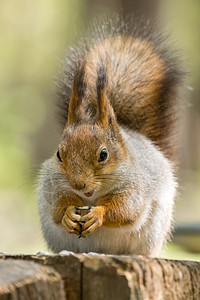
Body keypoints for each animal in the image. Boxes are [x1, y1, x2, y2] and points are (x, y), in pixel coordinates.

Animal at [36, 15, 182, 256]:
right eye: (58, 154)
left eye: (103, 154)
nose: (78, 184)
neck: (93, 195)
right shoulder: (52, 185)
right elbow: (56, 207)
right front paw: (67, 213)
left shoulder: (135, 186)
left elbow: (126, 211)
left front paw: (98, 213)